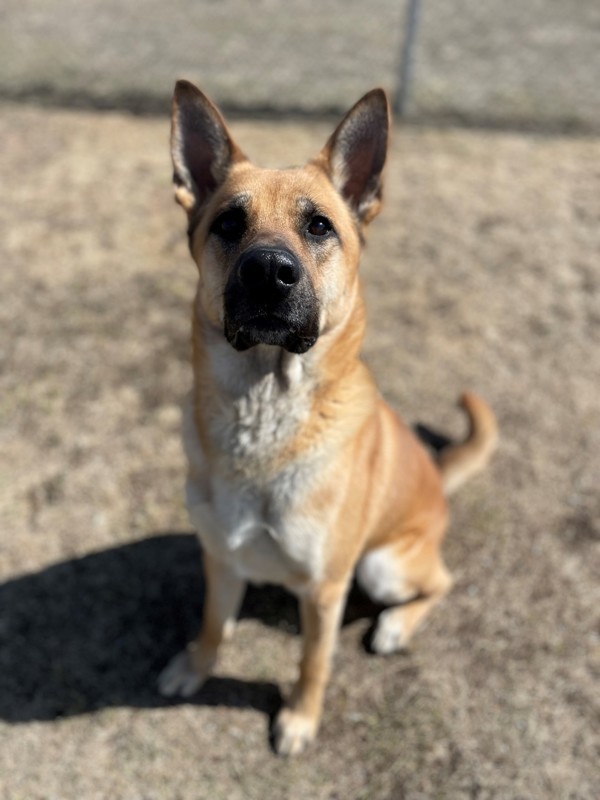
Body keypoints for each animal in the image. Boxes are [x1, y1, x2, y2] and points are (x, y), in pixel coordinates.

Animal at [157, 83, 500, 756]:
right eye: (228, 223)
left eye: (319, 225)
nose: (268, 272)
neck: (265, 417)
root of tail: (436, 479)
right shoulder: (220, 557)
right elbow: (211, 622)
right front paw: (196, 665)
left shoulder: (324, 590)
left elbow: (313, 662)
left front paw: (299, 719)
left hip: (382, 566)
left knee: (443, 581)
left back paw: (395, 627)